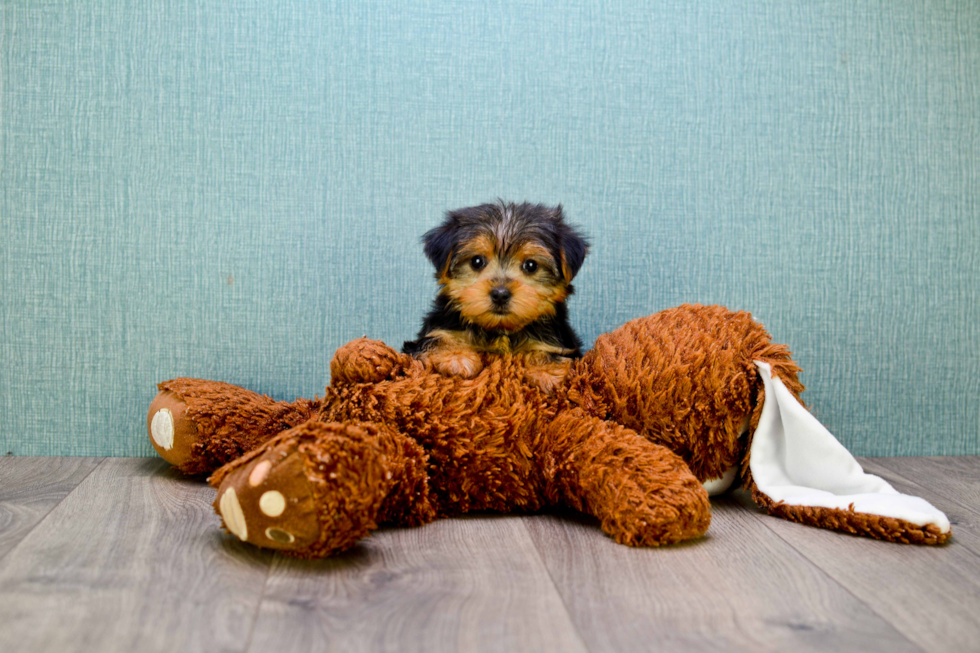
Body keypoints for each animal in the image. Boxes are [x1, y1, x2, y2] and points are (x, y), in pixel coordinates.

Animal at [400, 201, 584, 390]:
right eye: (476, 261)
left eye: (531, 265)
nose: (500, 294)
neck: (499, 330)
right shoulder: (431, 334)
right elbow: (435, 340)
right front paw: (456, 357)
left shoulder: (561, 344)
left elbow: (550, 351)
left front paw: (546, 371)